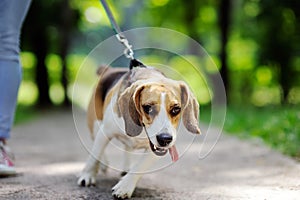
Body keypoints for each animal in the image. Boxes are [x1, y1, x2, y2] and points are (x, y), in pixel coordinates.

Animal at [77, 65, 200, 198]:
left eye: (176, 109)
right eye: (148, 107)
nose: (165, 139)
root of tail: (111, 69)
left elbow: (139, 166)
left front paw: (125, 187)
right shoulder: (105, 131)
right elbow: (94, 156)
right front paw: (87, 176)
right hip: (95, 124)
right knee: (97, 146)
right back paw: (103, 164)